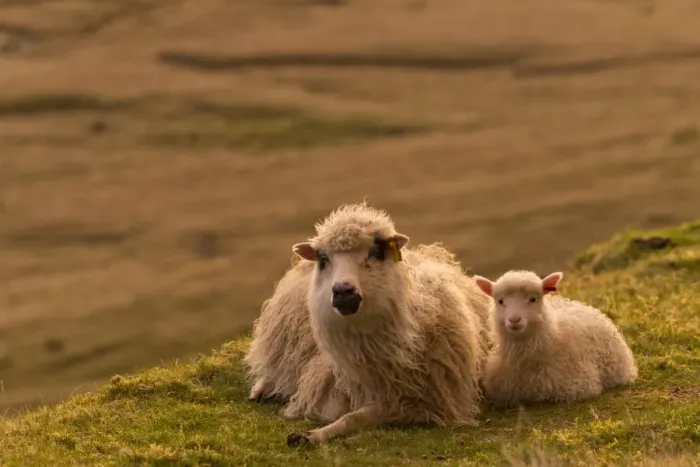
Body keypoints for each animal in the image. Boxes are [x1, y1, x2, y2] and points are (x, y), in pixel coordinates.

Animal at [283, 202, 492, 446]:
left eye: (375, 252)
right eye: (323, 259)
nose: (343, 291)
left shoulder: (419, 404)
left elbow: (355, 417)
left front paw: (314, 435)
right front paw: (310, 435)